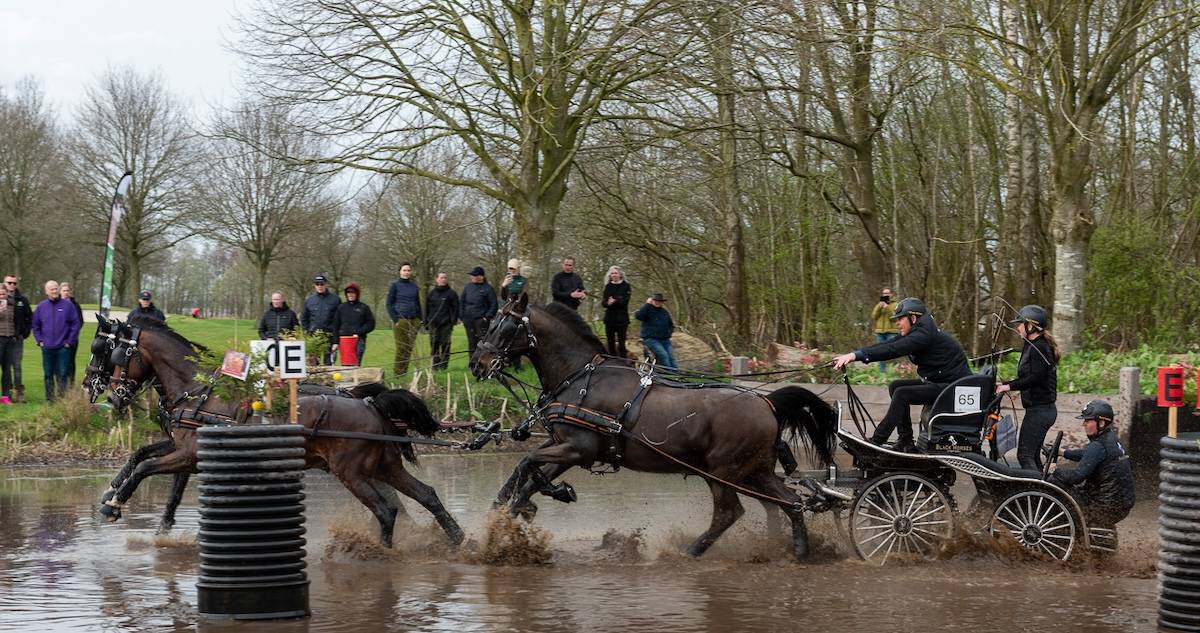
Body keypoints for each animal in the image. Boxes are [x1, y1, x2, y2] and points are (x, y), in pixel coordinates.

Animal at [94, 316, 464, 548]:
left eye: (113, 353)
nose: (109, 395)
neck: (198, 392)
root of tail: (371, 405)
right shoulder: (182, 449)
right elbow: (141, 456)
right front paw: (113, 491)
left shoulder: (190, 454)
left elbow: (147, 467)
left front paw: (115, 504)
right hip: (384, 467)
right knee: (426, 495)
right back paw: (459, 541)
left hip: (352, 473)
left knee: (387, 510)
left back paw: (381, 552)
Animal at [469, 294, 838, 560]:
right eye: (490, 323)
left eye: (505, 327)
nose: (477, 364)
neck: (580, 379)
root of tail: (767, 402)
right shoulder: (566, 448)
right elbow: (525, 471)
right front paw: (506, 514)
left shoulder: (578, 450)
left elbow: (528, 464)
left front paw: (532, 504)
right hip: (752, 470)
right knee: (787, 501)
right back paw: (794, 550)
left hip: (723, 471)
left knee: (731, 512)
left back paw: (689, 551)